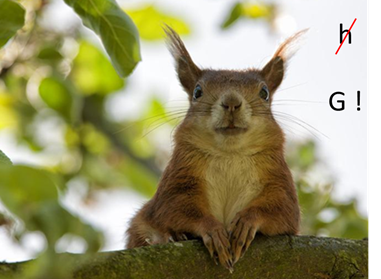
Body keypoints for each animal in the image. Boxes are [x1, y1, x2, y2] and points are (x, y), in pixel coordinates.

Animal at [126, 25, 304, 272]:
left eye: (265, 92)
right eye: (197, 92)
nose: (231, 102)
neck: (230, 154)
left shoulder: (279, 181)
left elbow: (283, 211)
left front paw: (246, 222)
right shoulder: (178, 179)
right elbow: (173, 208)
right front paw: (213, 231)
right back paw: (174, 237)